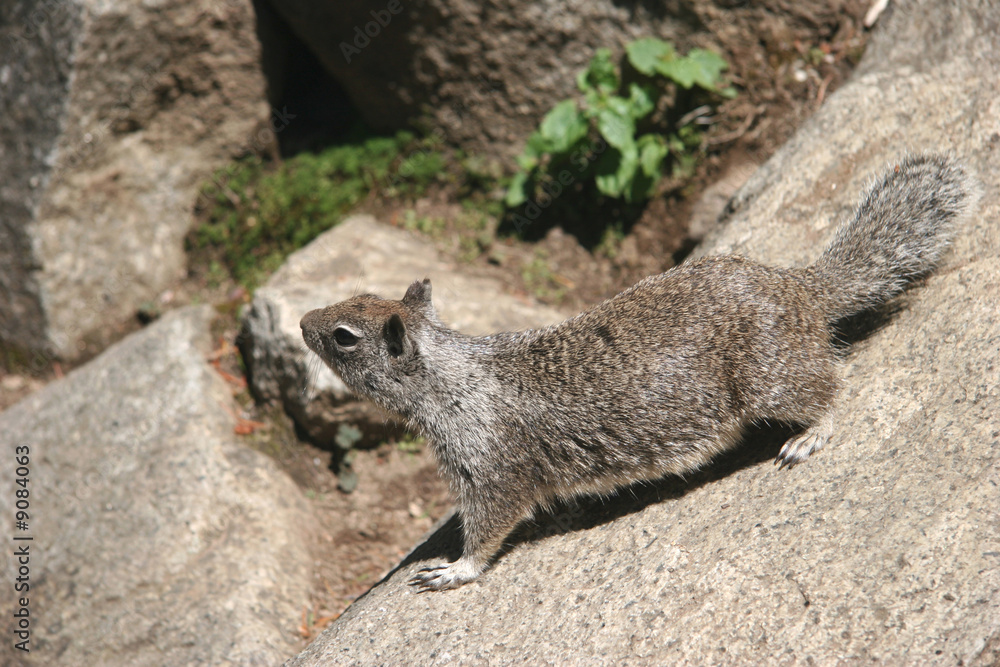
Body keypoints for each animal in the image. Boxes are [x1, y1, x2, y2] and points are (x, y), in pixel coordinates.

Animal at [300, 154, 978, 591]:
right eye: (352, 296)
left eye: (343, 337)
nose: (304, 321)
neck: (451, 378)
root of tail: (800, 290)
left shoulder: (490, 468)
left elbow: (490, 529)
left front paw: (454, 570)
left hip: (770, 377)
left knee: (833, 388)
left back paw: (810, 434)